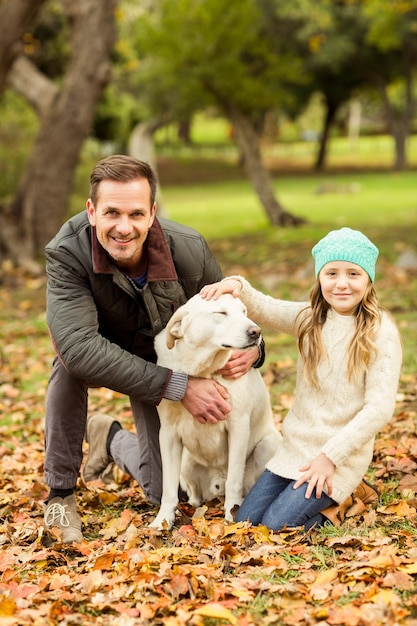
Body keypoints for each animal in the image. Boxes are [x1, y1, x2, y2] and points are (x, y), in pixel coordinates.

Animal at [148, 292, 282, 528]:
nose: (256, 332)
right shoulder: (168, 434)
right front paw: (163, 520)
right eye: (221, 312)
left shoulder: (238, 426)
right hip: (186, 464)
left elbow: (234, 480)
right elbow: (168, 488)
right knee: (194, 494)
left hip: (267, 446)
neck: (204, 372)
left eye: (244, 311)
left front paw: (232, 515)